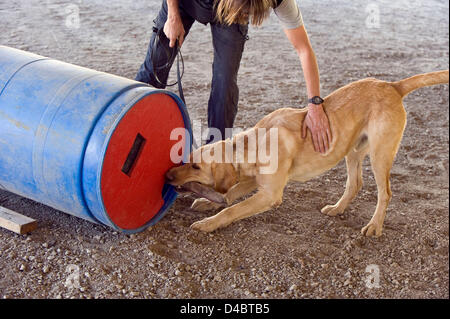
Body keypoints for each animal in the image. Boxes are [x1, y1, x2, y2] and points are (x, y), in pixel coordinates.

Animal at [167, 72, 448, 238]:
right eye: (187, 161)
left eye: (196, 167)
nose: (168, 175)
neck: (254, 144)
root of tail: (392, 86)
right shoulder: (255, 180)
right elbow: (231, 193)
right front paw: (208, 203)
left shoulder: (270, 194)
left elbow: (232, 209)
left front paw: (209, 222)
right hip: (353, 151)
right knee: (355, 184)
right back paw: (337, 208)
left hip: (380, 156)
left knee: (385, 193)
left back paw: (375, 225)